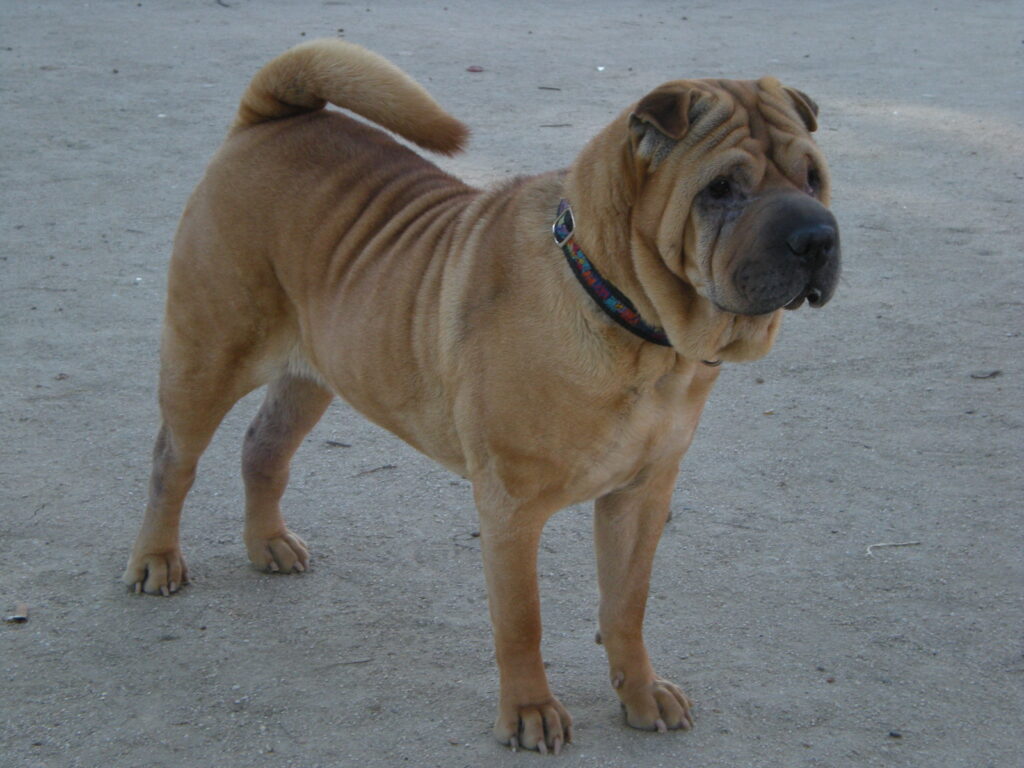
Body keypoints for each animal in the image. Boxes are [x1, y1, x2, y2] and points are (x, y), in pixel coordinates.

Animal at [123, 39, 839, 753]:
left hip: (314, 374)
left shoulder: (642, 494)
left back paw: (269, 543)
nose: (817, 237)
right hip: (208, 357)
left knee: (263, 448)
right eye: (719, 189)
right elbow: (522, 621)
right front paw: (530, 711)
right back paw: (156, 560)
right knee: (172, 463)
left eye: (812, 177)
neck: (627, 318)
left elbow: (626, 605)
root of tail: (266, 119)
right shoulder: (512, 506)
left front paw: (641, 692)